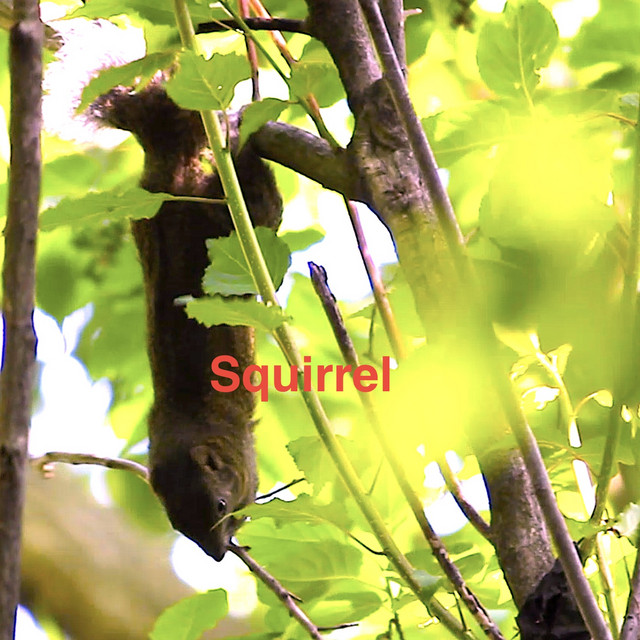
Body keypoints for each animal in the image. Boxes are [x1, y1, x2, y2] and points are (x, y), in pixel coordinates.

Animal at [91, 82, 282, 560]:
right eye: (180, 528)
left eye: (219, 504)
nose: (217, 553)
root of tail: (171, 176)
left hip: (227, 212)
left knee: (260, 199)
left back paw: (239, 133)